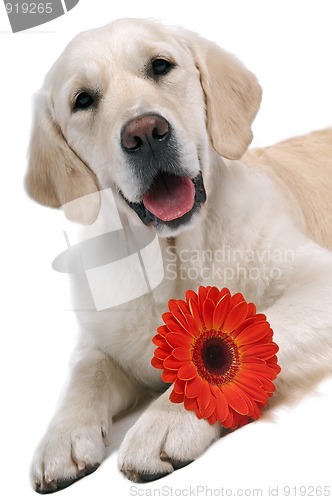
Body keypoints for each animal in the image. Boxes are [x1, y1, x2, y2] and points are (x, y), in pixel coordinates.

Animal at [25, 17, 332, 494]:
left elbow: (241, 340)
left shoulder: (319, 282)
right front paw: (62, 439)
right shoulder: (101, 341)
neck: (175, 258)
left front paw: (165, 422)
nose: (145, 132)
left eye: (160, 66)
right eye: (83, 100)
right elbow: (86, 372)